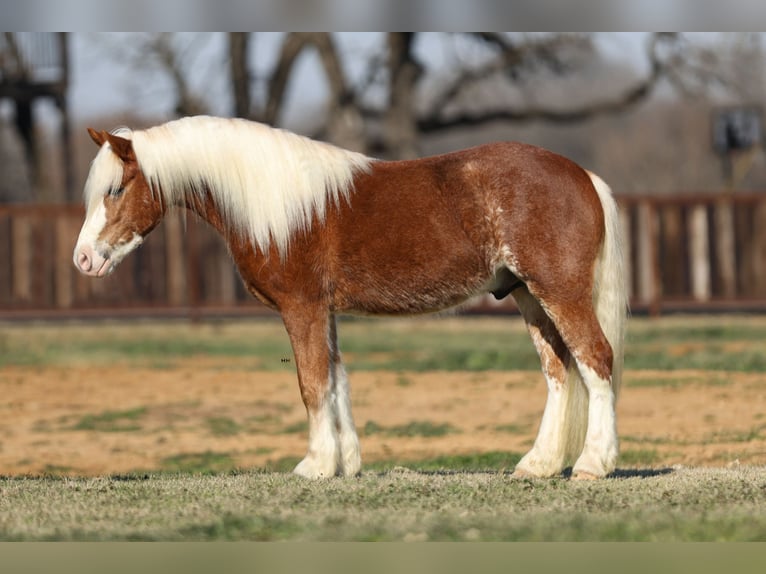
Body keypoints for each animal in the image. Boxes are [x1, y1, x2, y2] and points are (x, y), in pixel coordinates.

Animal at [72, 116, 628, 482]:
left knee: (595, 360)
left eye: (116, 189)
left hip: (559, 293)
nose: (83, 260)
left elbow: (312, 384)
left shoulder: (302, 308)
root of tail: (583, 176)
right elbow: (336, 380)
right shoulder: (326, 312)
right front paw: (346, 464)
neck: (281, 205)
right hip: (529, 297)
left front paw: (315, 466)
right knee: (560, 372)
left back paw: (592, 465)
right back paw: (538, 465)